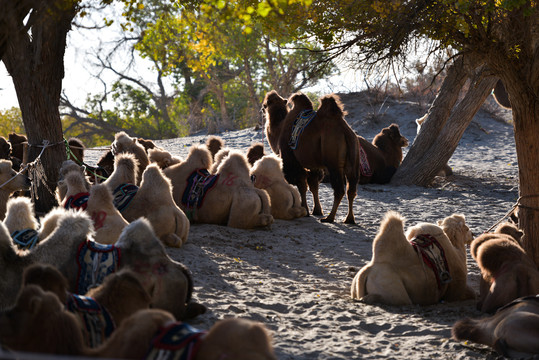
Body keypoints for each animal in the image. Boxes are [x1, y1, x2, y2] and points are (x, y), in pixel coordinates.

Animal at [264, 90, 360, 224]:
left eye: (265, 104)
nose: (262, 109)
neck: (278, 130)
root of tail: (345, 131)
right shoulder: (314, 165)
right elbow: (313, 185)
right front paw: (317, 210)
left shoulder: (292, 160)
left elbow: (302, 185)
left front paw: (305, 210)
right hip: (354, 158)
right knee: (351, 190)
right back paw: (349, 219)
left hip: (333, 162)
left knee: (339, 189)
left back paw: (329, 218)